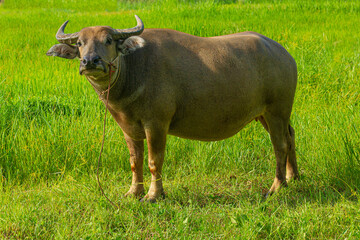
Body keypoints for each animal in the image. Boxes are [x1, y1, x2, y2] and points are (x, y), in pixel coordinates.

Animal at [47, 15, 298, 202]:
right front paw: (133, 192)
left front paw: (153, 195)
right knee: (290, 136)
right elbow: (135, 161)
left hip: (277, 110)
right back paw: (293, 176)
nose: (90, 61)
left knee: (279, 145)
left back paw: (276, 187)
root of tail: (284, 54)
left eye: (108, 40)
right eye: (80, 43)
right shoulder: (128, 128)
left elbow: (154, 161)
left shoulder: (156, 124)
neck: (133, 70)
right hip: (265, 114)